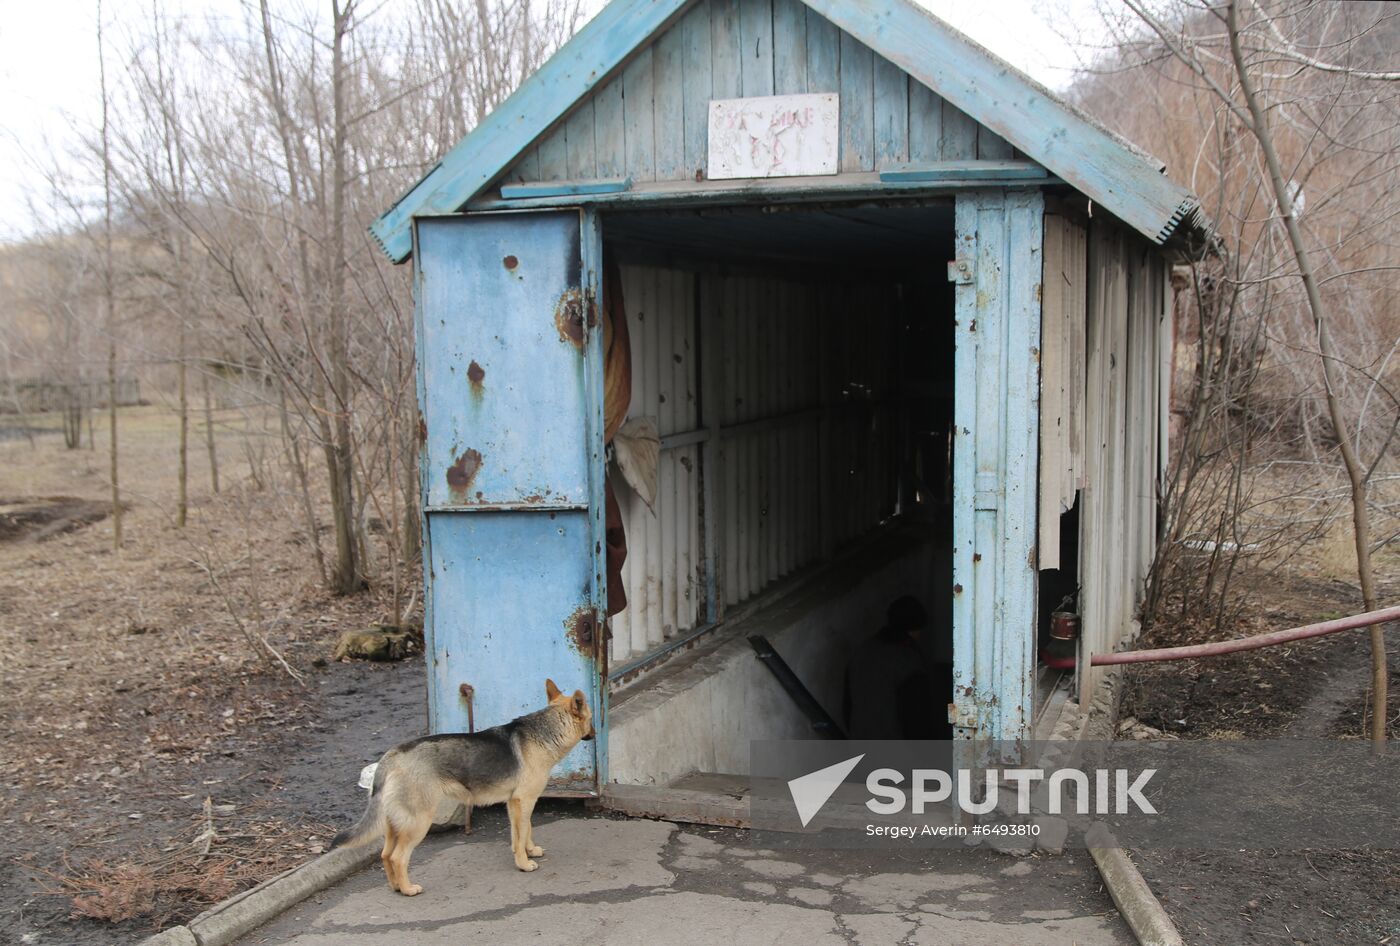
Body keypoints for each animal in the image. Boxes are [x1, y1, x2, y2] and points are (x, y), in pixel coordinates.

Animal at [333, 680, 596, 895]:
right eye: (592, 718)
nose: (595, 733)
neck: (545, 731)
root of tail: (392, 755)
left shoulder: (516, 803)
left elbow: (524, 831)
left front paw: (529, 851)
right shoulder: (524, 801)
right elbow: (521, 835)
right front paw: (524, 863)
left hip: (394, 825)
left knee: (386, 855)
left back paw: (396, 886)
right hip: (418, 822)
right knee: (398, 857)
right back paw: (408, 889)